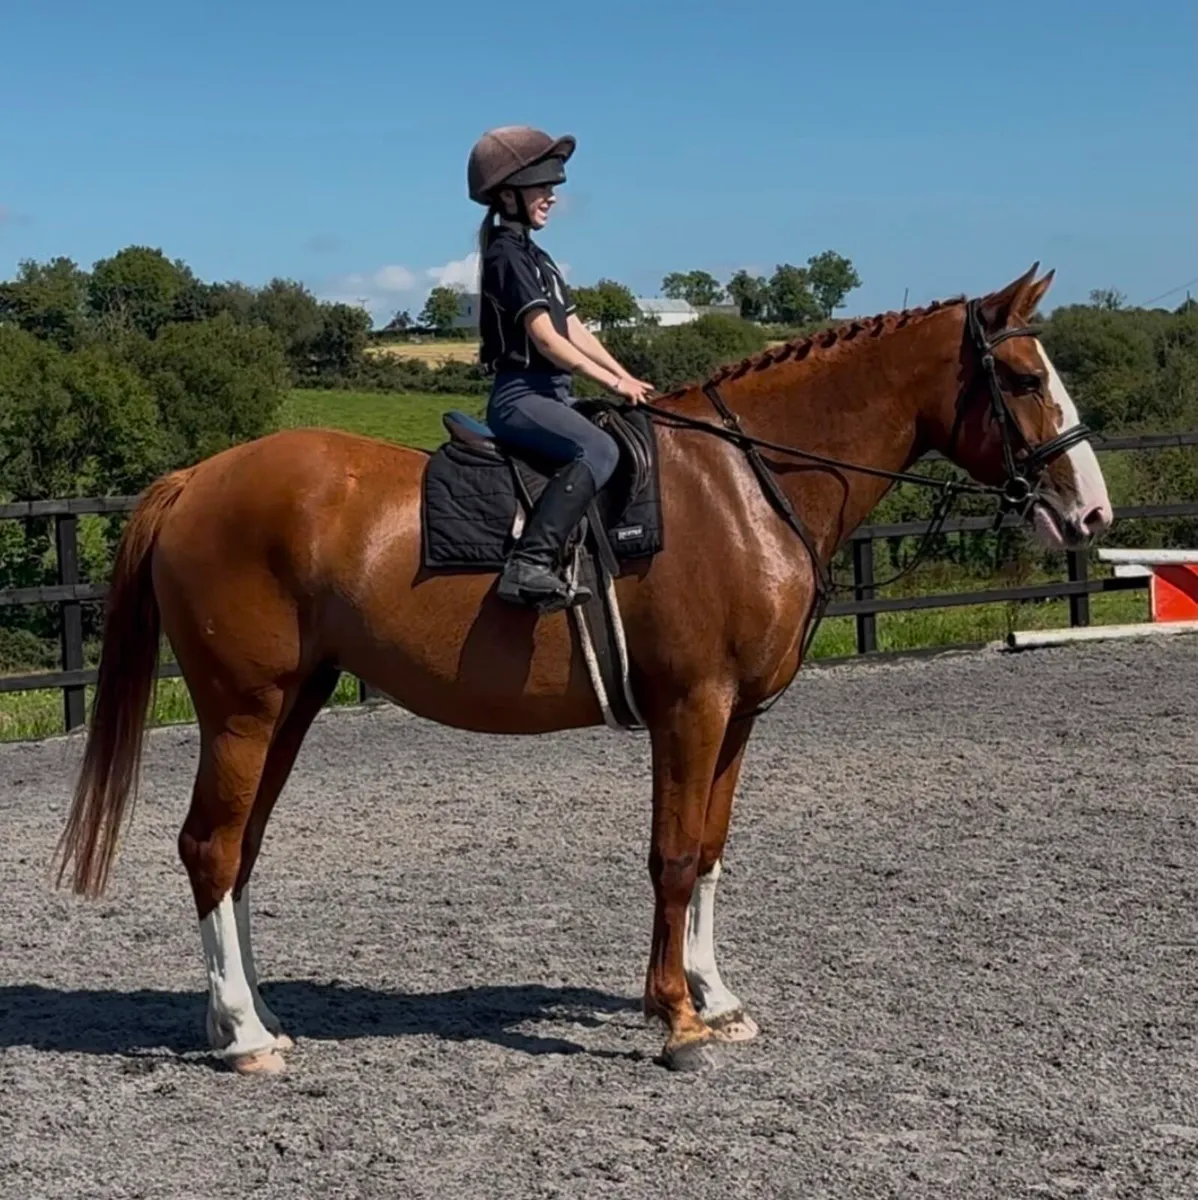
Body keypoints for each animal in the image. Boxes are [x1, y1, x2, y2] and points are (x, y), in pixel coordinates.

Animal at [54, 263, 1113, 1076]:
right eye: (1022, 378)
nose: (1091, 514)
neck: (747, 487)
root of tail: (198, 478)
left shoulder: (738, 717)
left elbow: (713, 852)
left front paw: (717, 998)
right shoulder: (692, 707)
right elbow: (673, 856)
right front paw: (675, 1019)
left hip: (291, 706)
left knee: (240, 852)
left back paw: (254, 1015)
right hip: (244, 708)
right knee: (209, 848)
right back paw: (241, 1038)